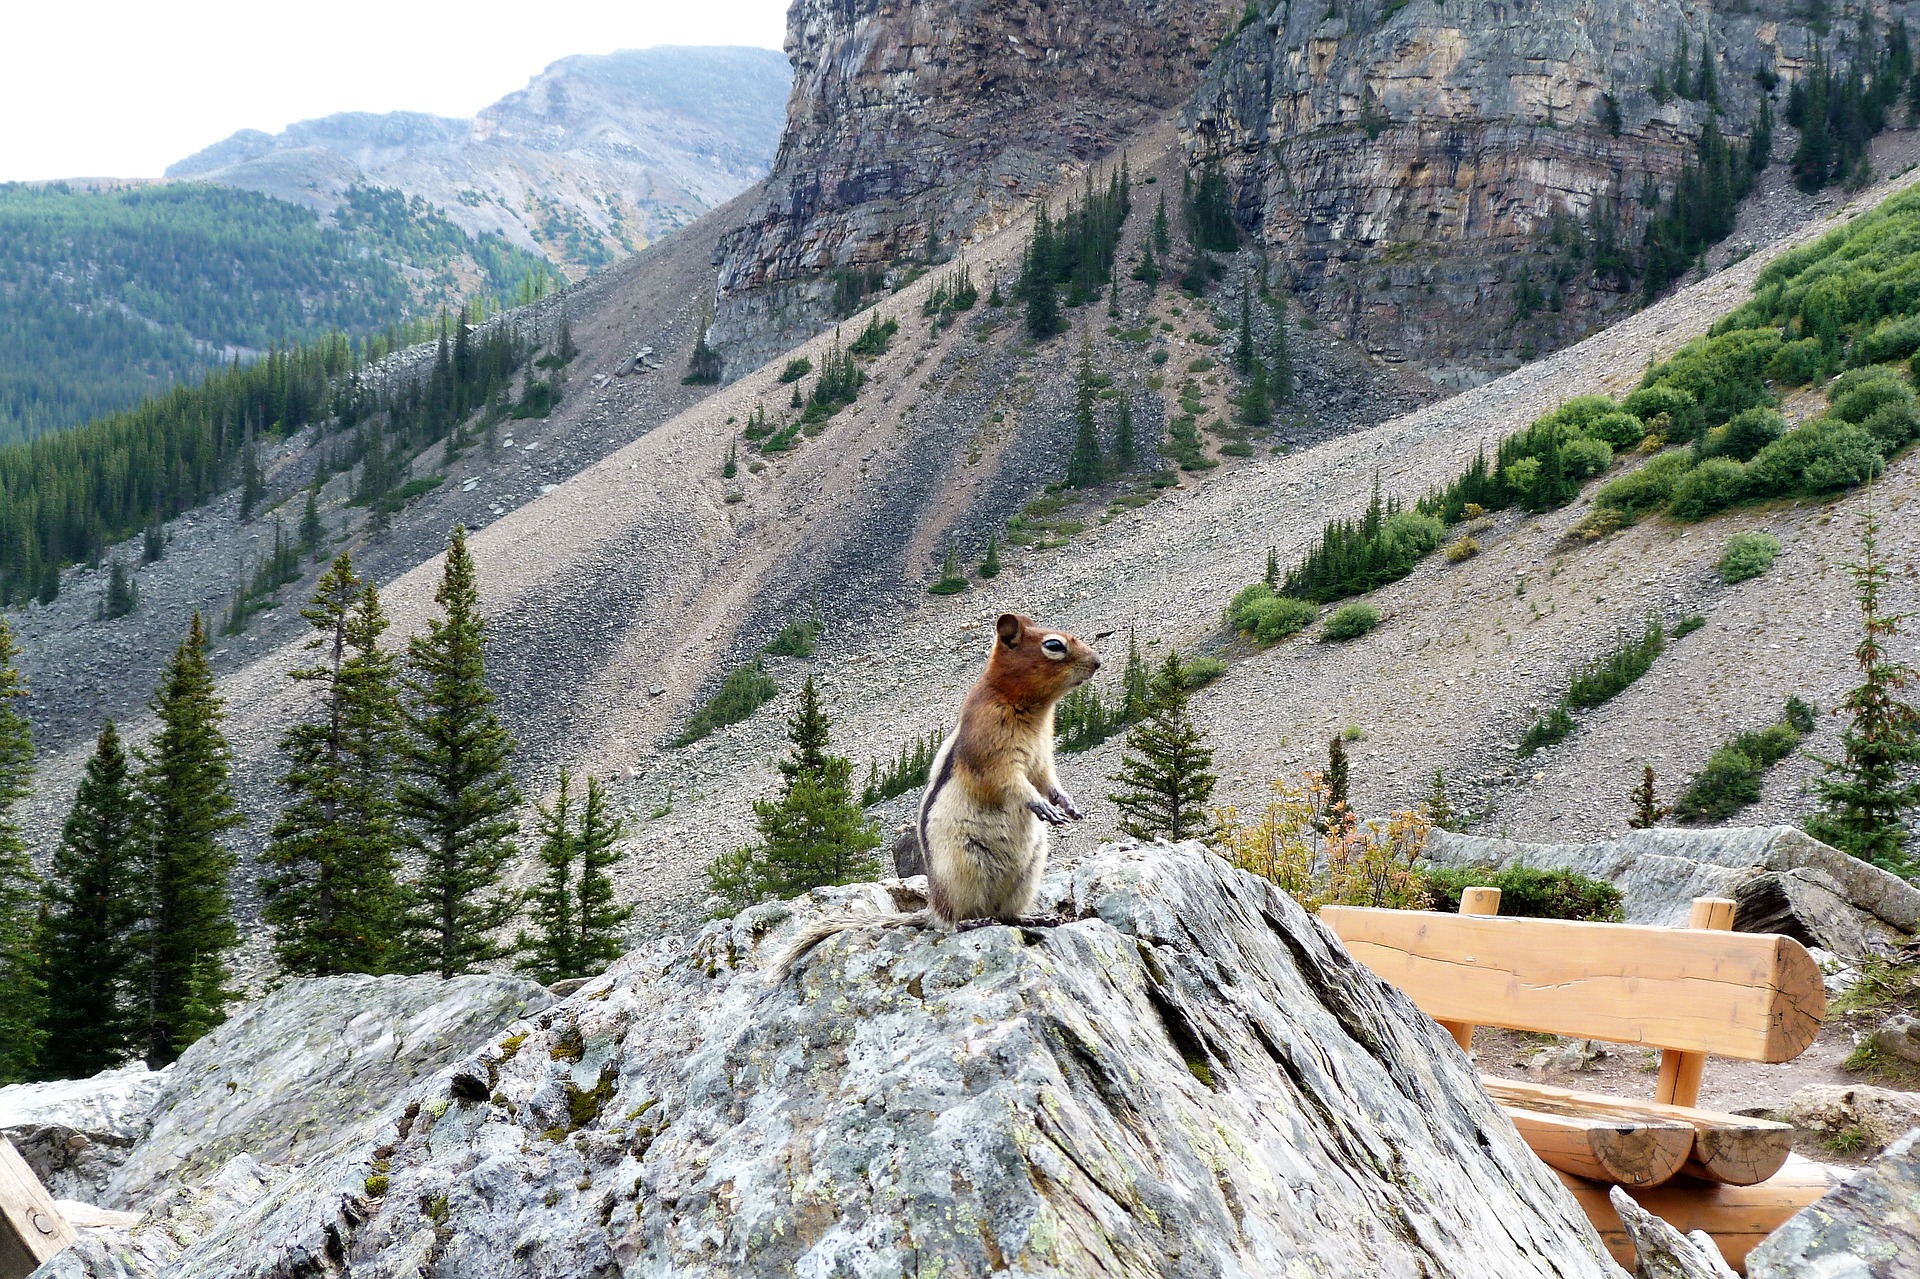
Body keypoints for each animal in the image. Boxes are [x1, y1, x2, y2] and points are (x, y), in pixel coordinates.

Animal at [768, 614, 1098, 971]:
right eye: (1053, 645)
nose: (1097, 661)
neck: (1031, 709)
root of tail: (933, 907)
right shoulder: (990, 748)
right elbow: (1009, 783)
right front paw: (1040, 805)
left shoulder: (1042, 757)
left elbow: (1047, 781)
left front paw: (1067, 804)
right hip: (961, 869)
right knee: (954, 921)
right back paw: (971, 921)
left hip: (1028, 873)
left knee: (1005, 914)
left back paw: (1033, 918)